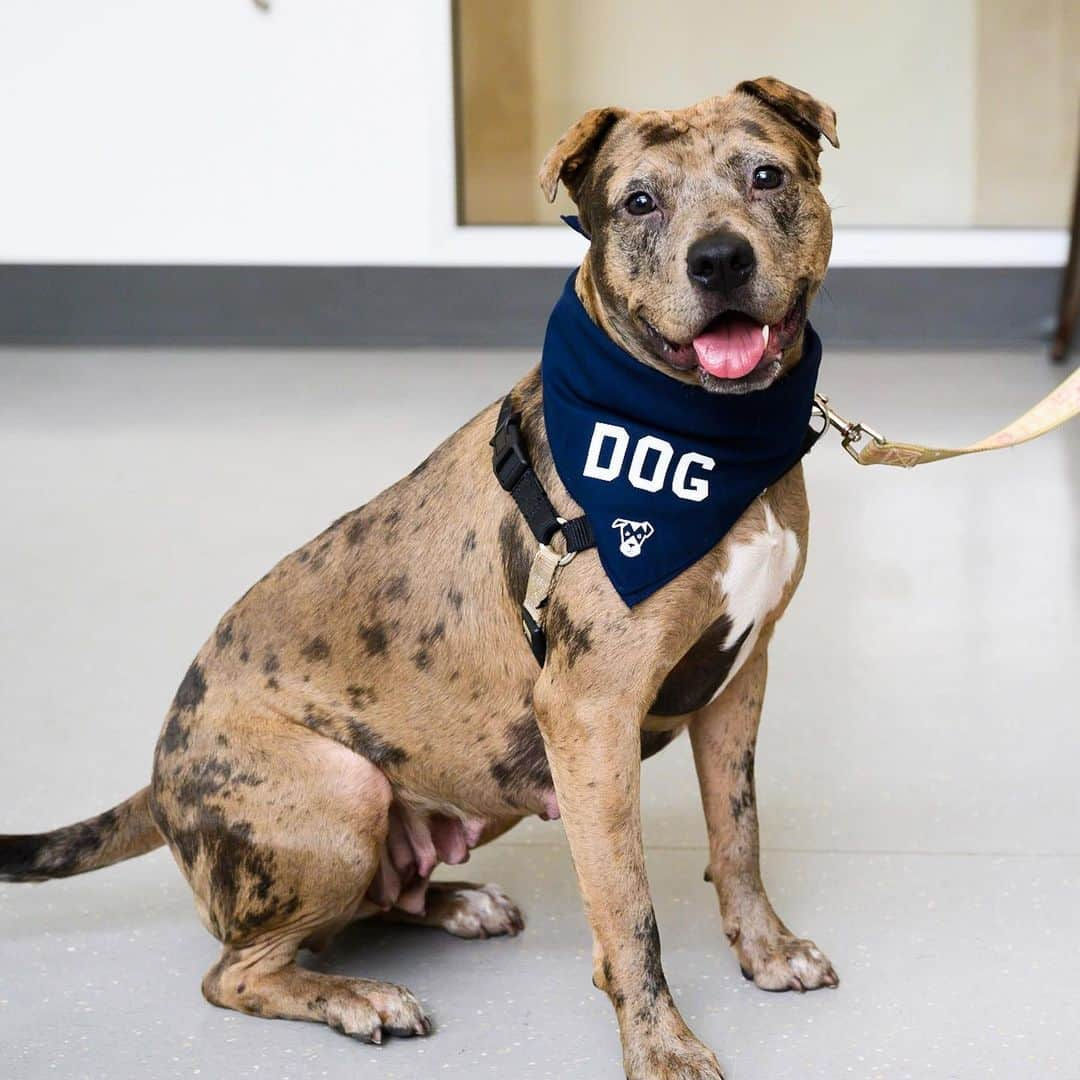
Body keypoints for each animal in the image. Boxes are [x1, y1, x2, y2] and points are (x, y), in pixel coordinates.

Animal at [0, 78, 838, 1080]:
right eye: (640, 201)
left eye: (767, 176)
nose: (718, 260)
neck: (707, 441)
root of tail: (158, 779)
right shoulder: (590, 718)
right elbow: (629, 909)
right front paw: (661, 1045)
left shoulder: (737, 682)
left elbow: (738, 836)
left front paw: (765, 949)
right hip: (343, 794)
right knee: (237, 971)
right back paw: (361, 998)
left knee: (369, 907)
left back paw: (453, 904)